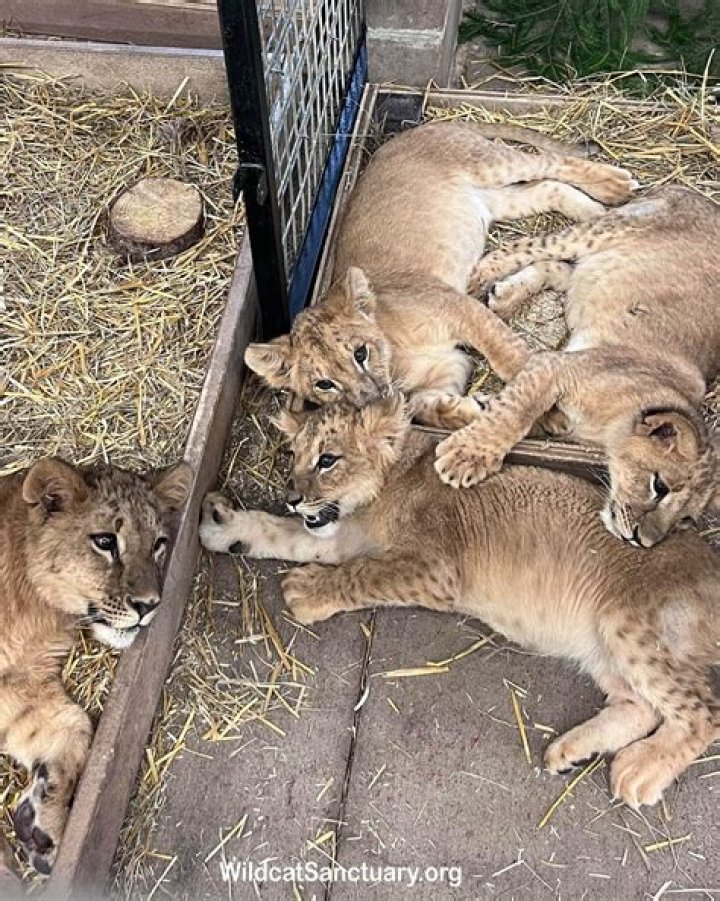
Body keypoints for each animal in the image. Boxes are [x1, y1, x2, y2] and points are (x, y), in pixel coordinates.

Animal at [0, 457, 191, 875]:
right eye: (105, 542)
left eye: (158, 544)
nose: (149, 605)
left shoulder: (21, 677)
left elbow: (75, 726)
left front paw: (42, 823)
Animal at [199, 395, 719, 809]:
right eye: (292, 455)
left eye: (328, 459)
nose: (290, 496)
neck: (389, 481)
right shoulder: (344, 534)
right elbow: (285, 534)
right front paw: (223, 527)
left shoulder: (434, 569)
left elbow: (362, 575)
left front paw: (306, 593)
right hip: (601, 646)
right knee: (642, 707)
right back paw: (571, 751)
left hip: (626, 623)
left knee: (701, 713)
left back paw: (639, 771)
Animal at [245, 120, 637, 429]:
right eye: (324, 384)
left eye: (360, 353)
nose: (372, 399)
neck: (396, 361)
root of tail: (416, 130)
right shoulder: (452, 364)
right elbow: (421, 407)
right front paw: (466, 411)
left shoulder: (458, 307)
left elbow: (510, 358)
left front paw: (548, 410)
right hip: (490, 201)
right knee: (546, 188)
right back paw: (596, 212)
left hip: (489, 164)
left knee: (550, 162)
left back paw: (615, 185)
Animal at [433, 186, 719, 546]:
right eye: (660, 486)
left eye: (685, 520)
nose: (643, 541)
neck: (606, 431)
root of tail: (693, 194)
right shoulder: (555, 365)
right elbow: (516, 412)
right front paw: (466, 456)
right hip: (606, 229)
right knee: (532, 246)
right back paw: (481, 278)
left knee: (563, 270)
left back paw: (506, 294)